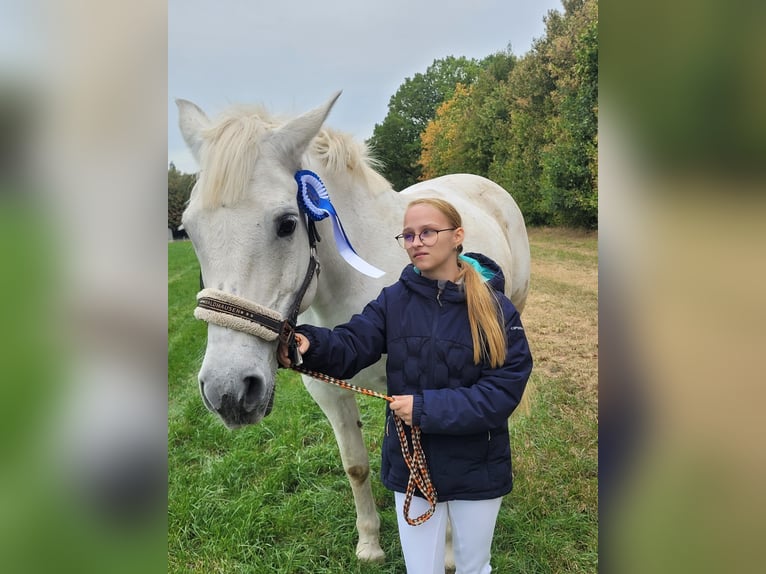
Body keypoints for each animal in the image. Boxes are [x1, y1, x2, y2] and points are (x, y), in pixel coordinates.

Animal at [177, 92, 532, 564]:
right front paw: (370, 543)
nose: (228, 391)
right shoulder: (330, 390)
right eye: (189, 230)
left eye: (287, 224)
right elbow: (356, 466)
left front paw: (449, 554)